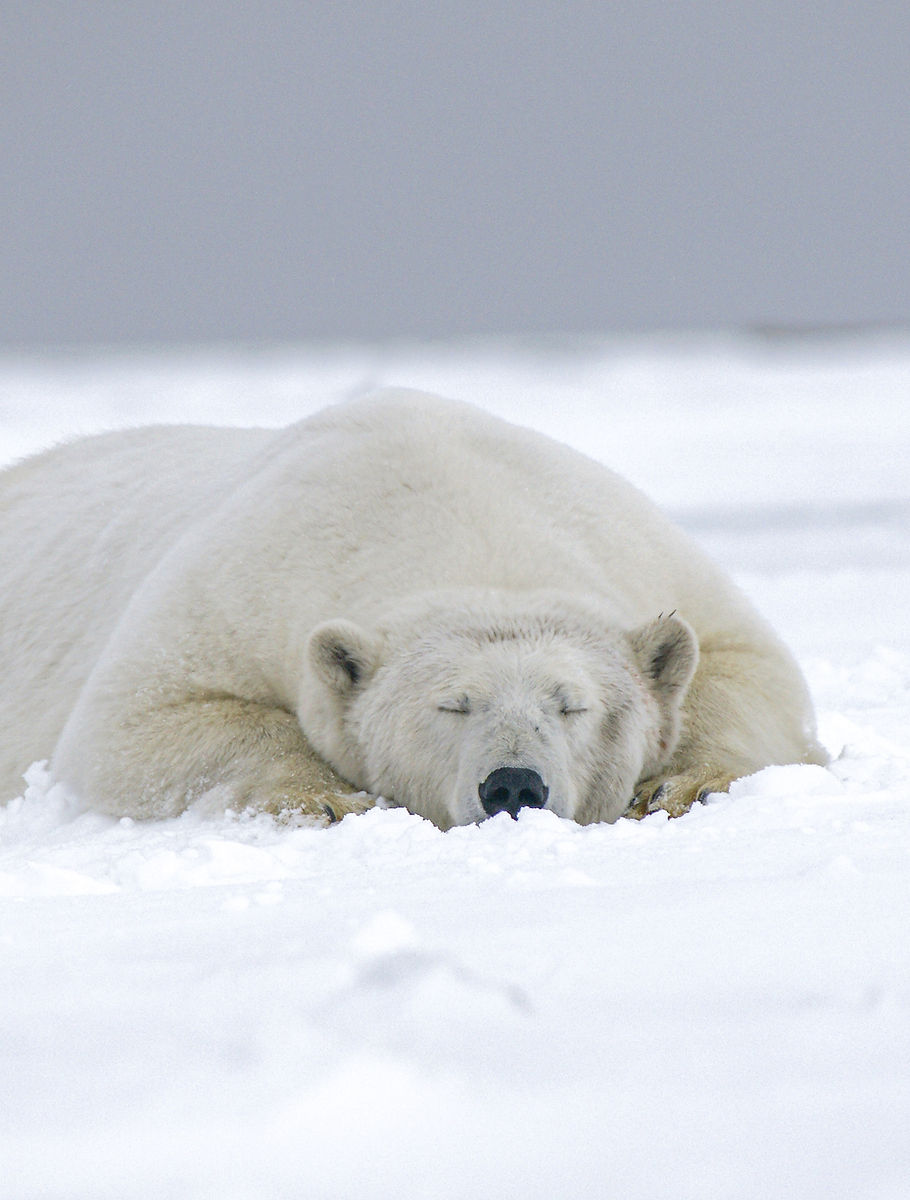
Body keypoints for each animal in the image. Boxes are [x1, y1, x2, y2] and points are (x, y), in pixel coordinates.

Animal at [0, 388, 825, 828]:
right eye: (451, 705)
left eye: (572, 705)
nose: (514, 785)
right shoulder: (241, 582)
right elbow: (134, 723)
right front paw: (331, 799)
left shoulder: (634, 547)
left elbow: (745, 670)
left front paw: (681, 784)